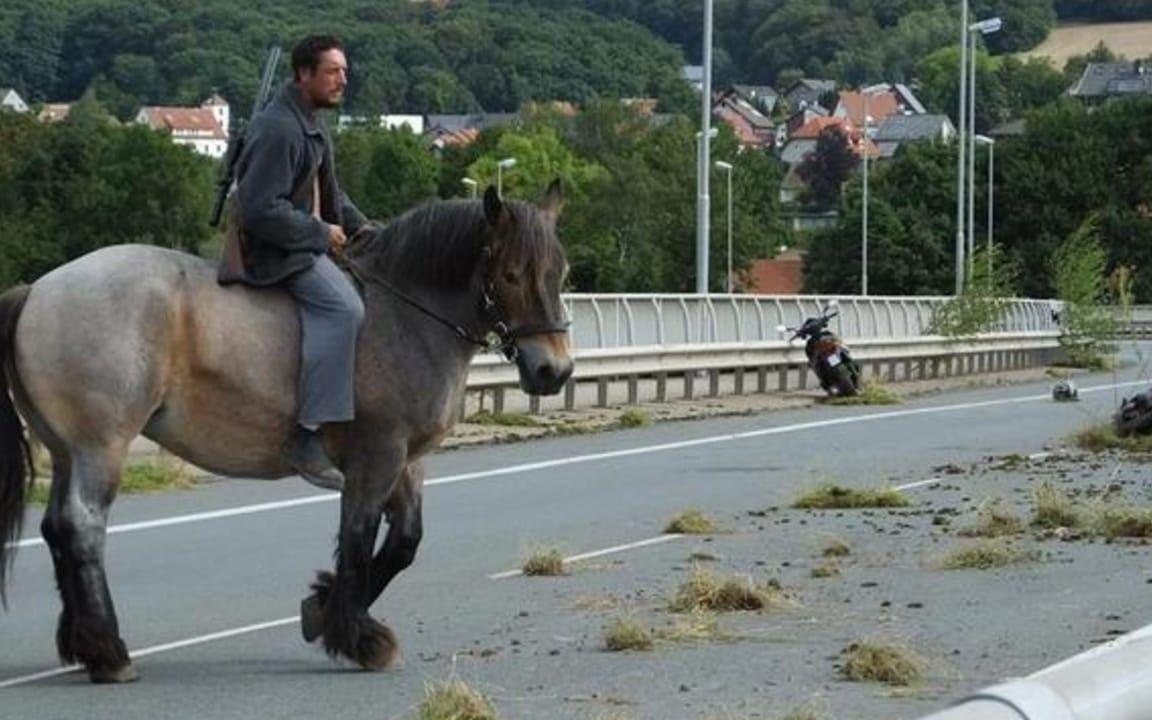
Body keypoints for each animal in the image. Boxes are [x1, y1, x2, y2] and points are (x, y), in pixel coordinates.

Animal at [0, 182, 573, 681]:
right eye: (512, 274)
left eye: (562, 272)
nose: (555, 371)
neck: (403, 315)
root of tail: (39, 289)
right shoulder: (376, 456)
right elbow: (359, 533)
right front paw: (357, 636)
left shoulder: (407, 460)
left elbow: (405, 541)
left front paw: (321, 608)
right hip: (101, 446)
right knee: (82, 526)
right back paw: (110, 652)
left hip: (67, 450)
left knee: (56, 526)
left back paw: (82, 644)